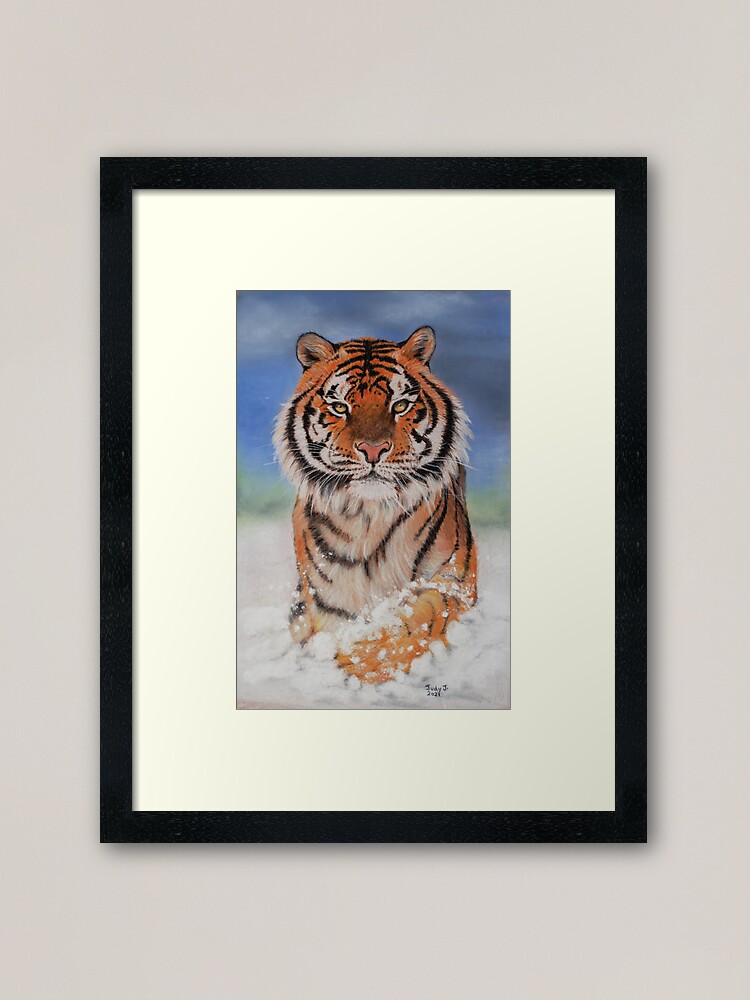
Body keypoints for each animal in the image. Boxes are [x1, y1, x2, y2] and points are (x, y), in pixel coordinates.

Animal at [274, 325, 477, 684]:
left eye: (400, 405)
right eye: (341, 407)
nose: (372, 449)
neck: (368, 519)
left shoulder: (455, 579)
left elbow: (422, 617)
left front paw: (360, 658)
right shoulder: (326, 599)